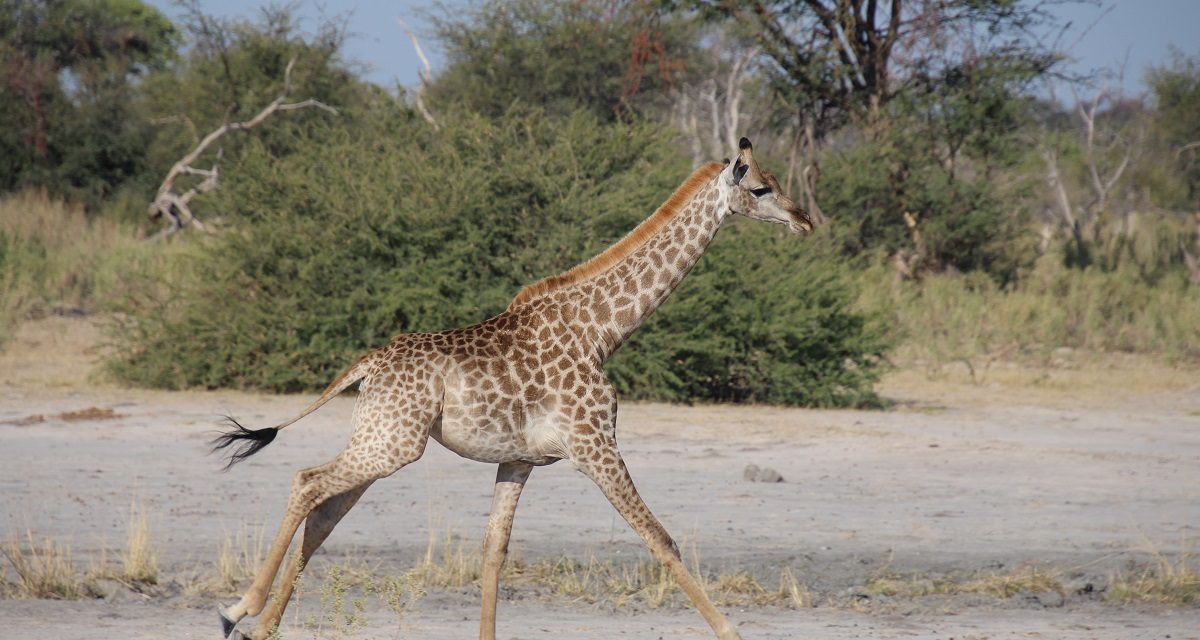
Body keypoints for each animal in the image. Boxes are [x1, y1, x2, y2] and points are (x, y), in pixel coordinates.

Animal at [213, 137, 812, 640]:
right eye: (761, 188)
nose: (803, 219)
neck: (601, 333)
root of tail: (369, 362)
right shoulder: (594, 443)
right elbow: (659, 537)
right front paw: (731, 633)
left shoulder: (519, 459)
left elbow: (493, 551)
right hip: (394, 444)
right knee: (307, 483)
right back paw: (238, 608)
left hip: (379, 438)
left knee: (323, 511)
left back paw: (262, 627)